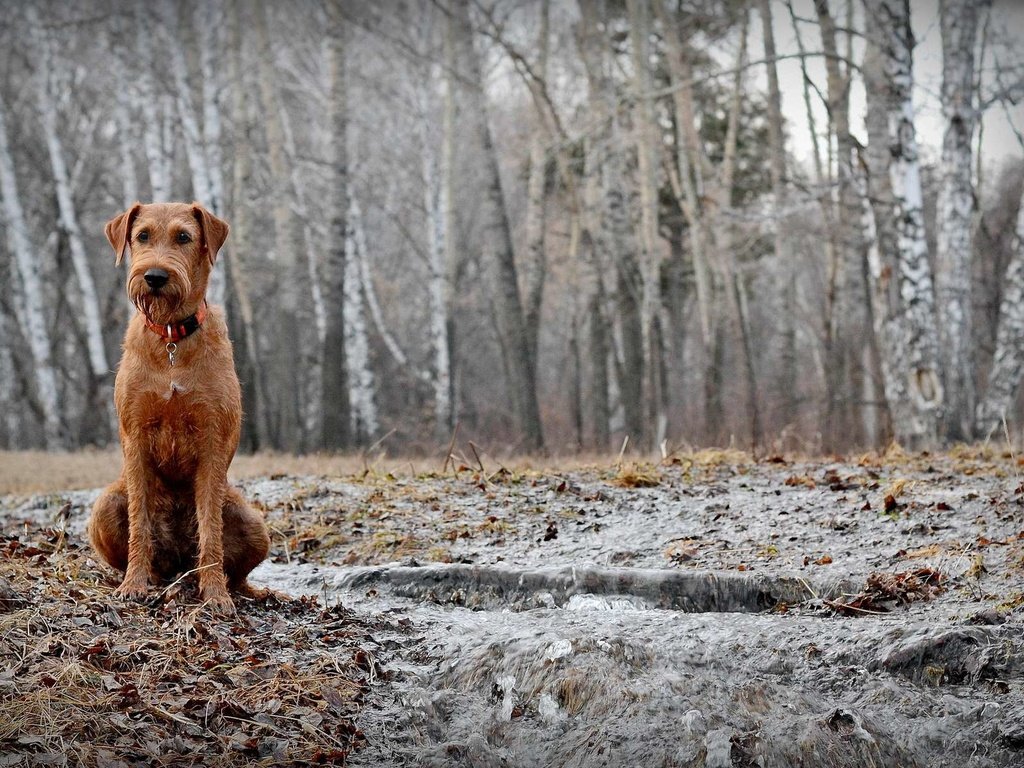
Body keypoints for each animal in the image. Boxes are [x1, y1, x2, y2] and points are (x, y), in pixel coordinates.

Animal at [88, 202, 270, 614]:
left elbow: (211, 531)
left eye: (184, 237)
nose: (155, 276)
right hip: (105, 505)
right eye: (142, 236)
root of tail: (178, 564)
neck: (172, 339)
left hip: (255, 525)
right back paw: (152, 578)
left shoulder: (212, 438)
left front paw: (214, 593)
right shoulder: (136, 436)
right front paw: (133, 584)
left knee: (235, 572)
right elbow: (139, 522)